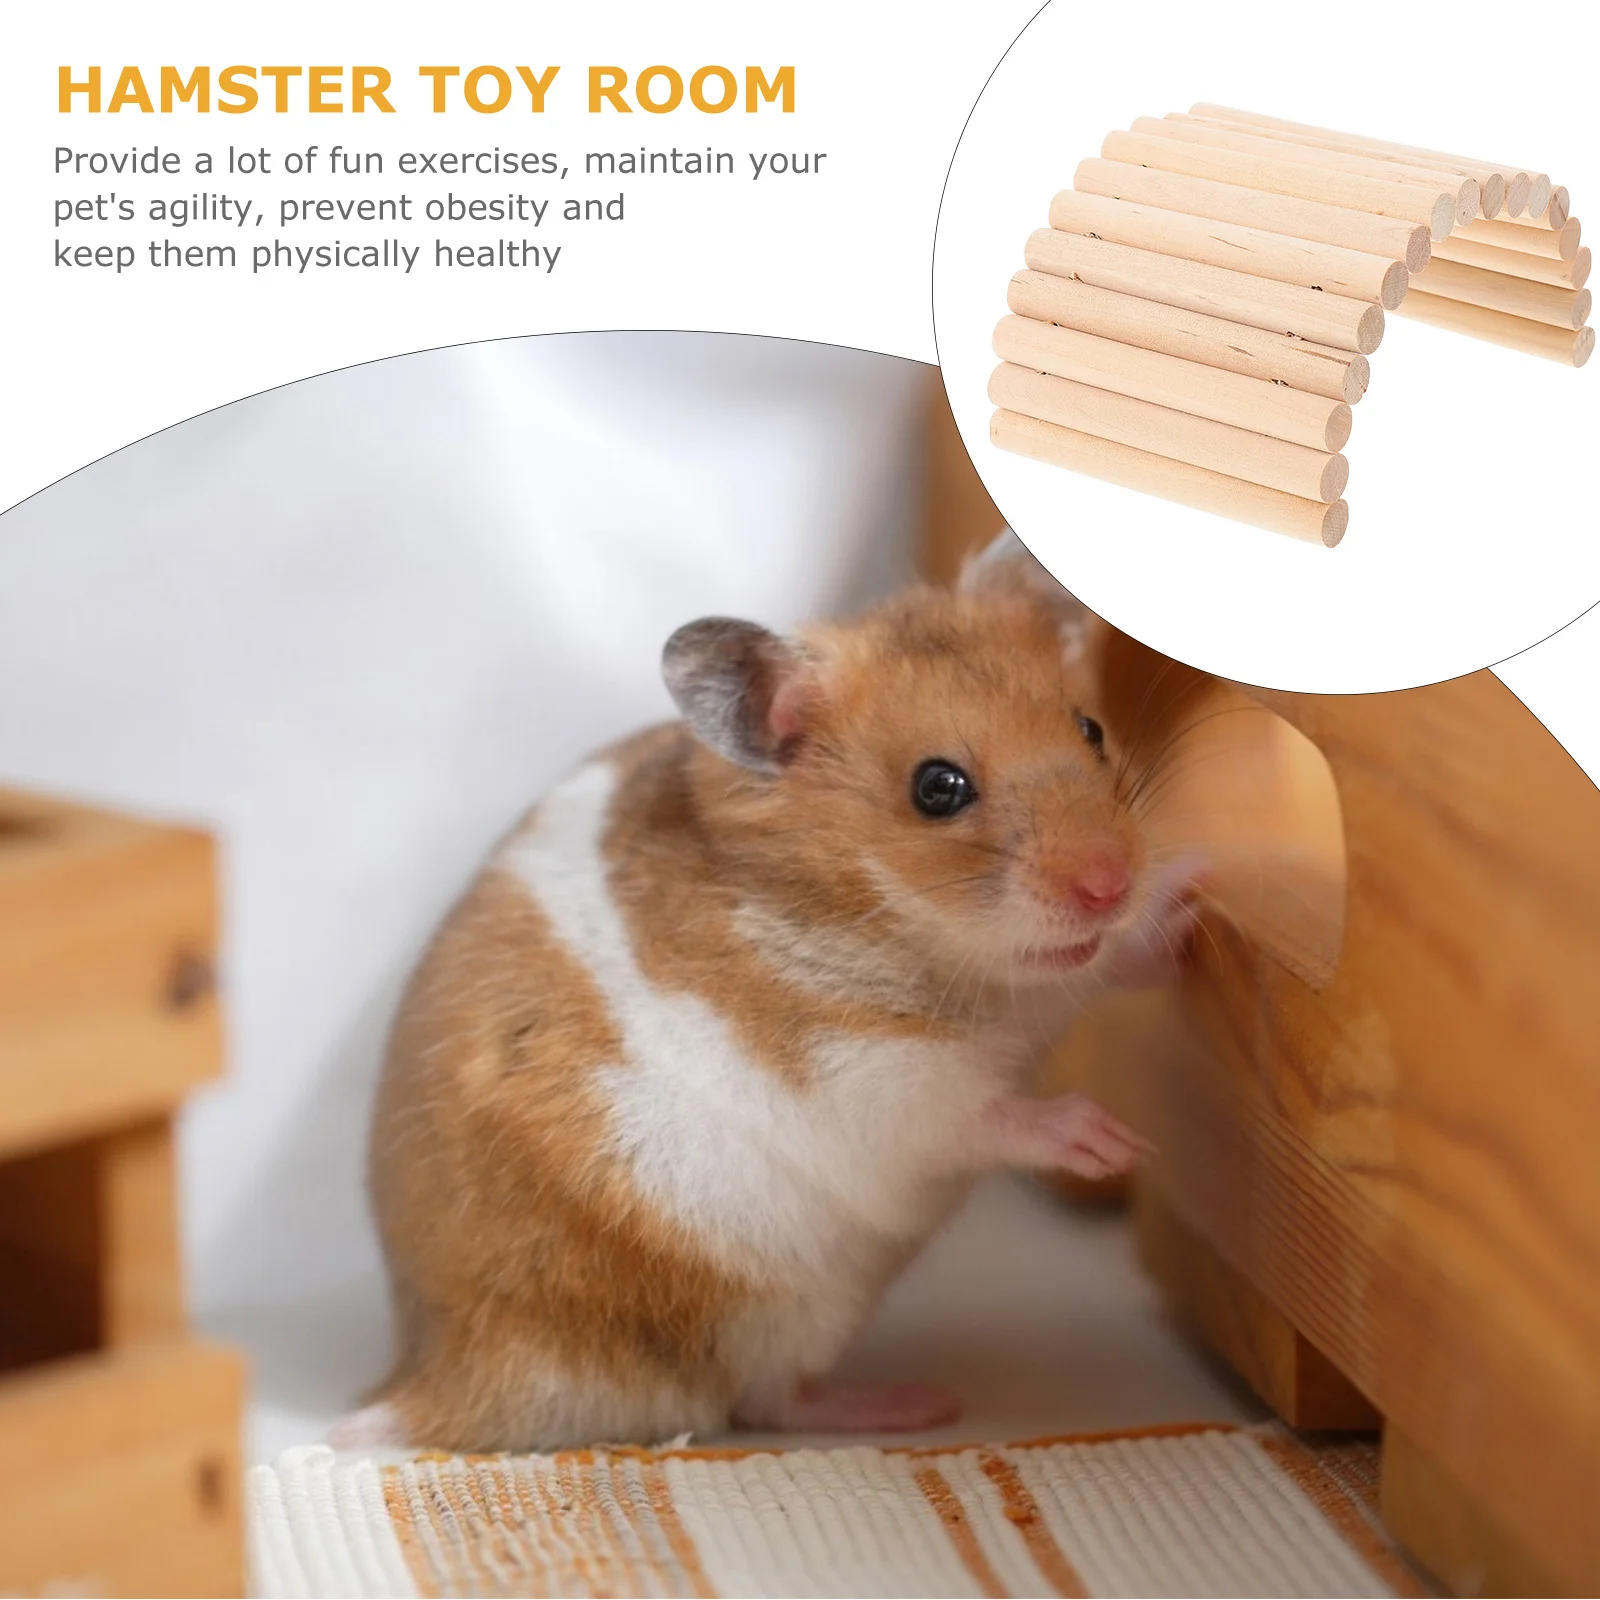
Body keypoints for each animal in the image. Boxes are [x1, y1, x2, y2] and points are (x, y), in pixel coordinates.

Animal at [343, 529, 1200, 1453]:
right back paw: (915, 1404)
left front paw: (1191, 902)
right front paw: (1114, 1143)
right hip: (768, 1312)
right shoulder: (868, 1083)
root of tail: (436, 1380)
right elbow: (983, 1115)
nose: (1108, 885)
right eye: (937, 789)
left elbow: (1106, 962)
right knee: (765, 1400)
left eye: (1091, 729)